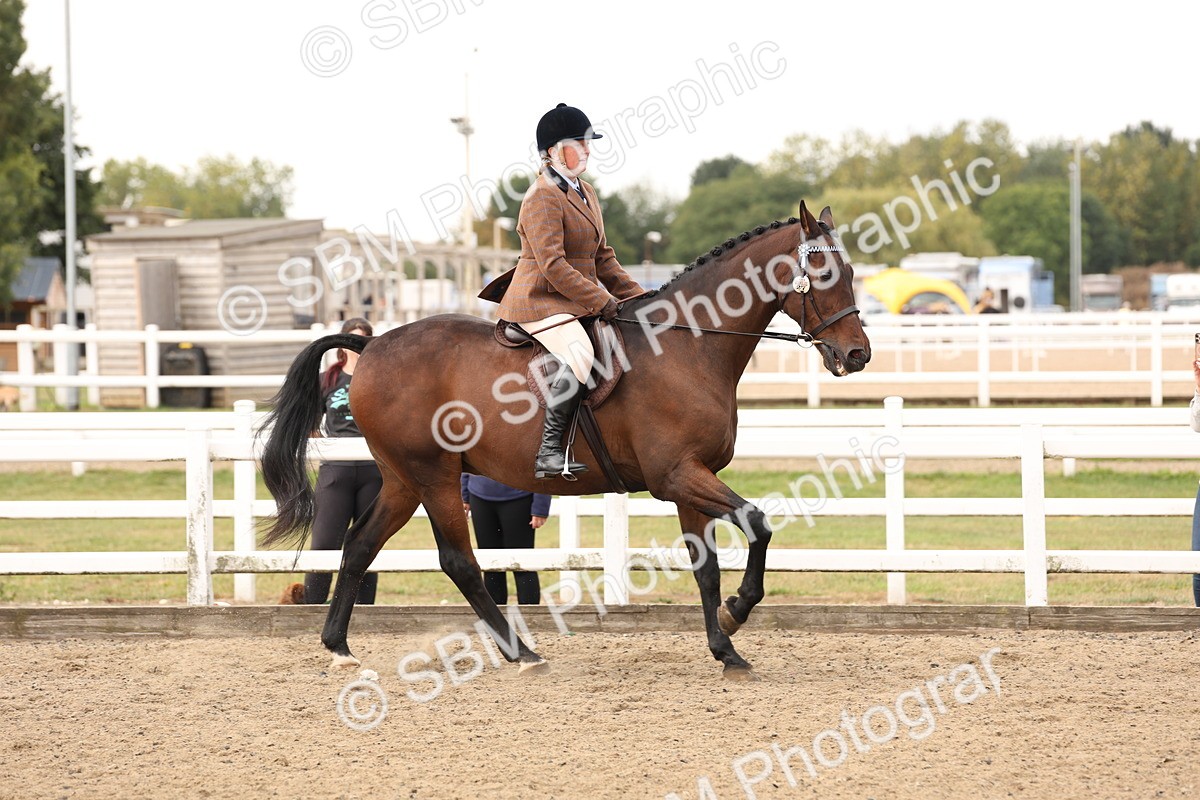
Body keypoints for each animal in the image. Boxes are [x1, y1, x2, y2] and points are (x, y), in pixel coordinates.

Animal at [259, 201, 871, 680]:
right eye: (821, 272)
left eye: (850, 269)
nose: (858, 354)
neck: (689, 348)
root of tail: (373, 346)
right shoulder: (677, 476)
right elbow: (758, 524)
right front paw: (736, 613)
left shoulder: (691, 480)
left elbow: (707, 566)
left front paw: (726, 648)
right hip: (433, 476)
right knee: (458, 561)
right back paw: (522, 654)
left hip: (403, 479)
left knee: (360, 544)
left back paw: (339, 646)